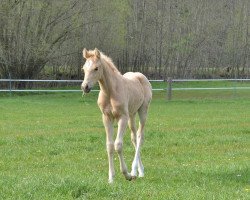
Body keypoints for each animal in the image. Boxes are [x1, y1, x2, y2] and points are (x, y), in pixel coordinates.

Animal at [81, 48, 152, 183]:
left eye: (96, 68)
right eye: (83, 68)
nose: (85, 87)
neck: (110, 92)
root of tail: (141, 76)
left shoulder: (122, 117)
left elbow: (118, 145)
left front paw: (127, 174)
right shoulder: (106, 117)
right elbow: (109, 145)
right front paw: (111, 178)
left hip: (143, 111)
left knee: (140, 136)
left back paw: (134, 170)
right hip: (131, 114)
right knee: (134, 137)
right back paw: (139, 171)